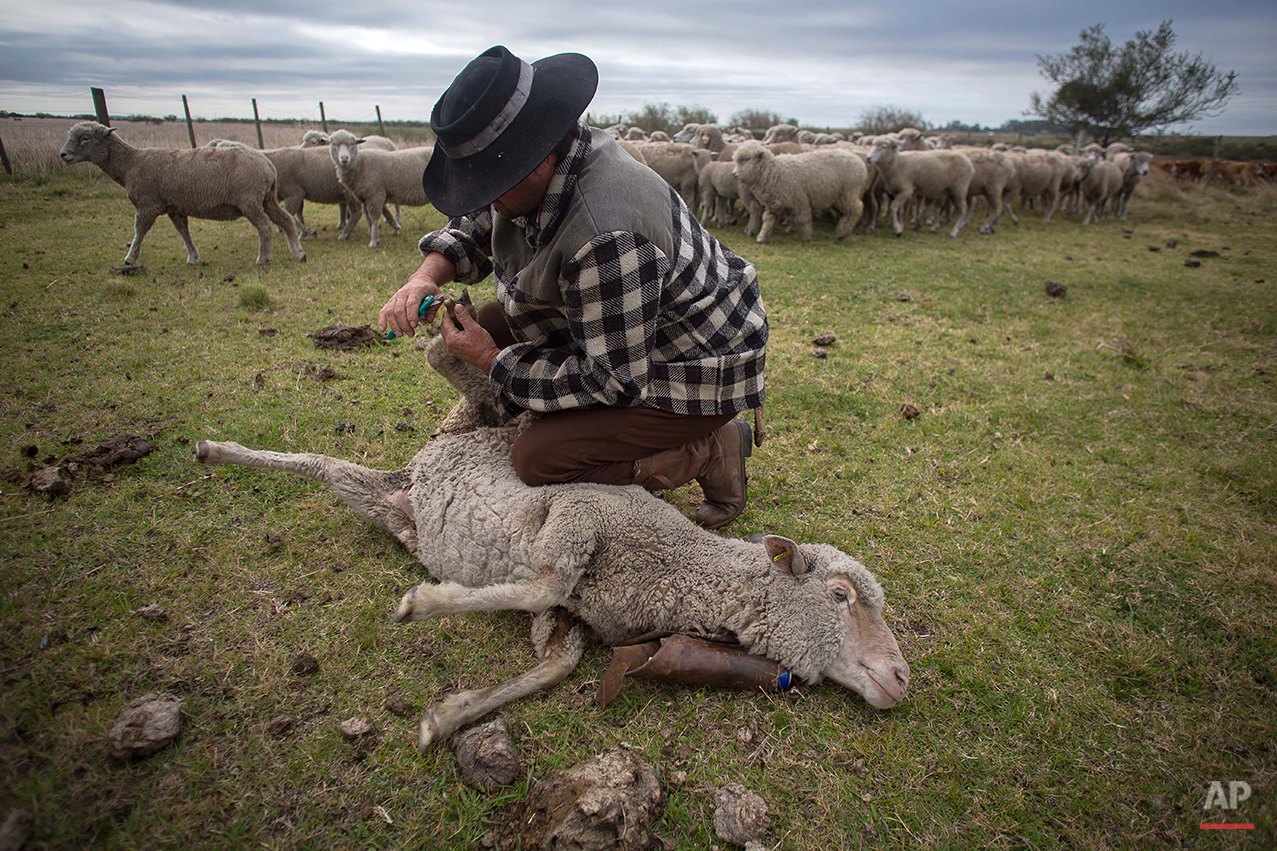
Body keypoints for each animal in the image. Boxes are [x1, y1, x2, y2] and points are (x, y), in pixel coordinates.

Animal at [61, 120, 306, 263]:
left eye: (85, 138)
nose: (63, 155)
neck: (131, 163)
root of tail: (268, 166)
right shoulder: (174, 206)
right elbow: (183, 232)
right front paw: (193, 256)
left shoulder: (148, 204)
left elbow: (139, 231)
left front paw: (129, 258)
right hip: (266, 198)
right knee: (285, 219)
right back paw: (298, 252)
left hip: (249, 200)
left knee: (265, 225)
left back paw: (263, 257)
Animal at [196, 334, 909, 746]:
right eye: (840, 595)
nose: (902, 678)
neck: (678, 568)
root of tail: (421, 467)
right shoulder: (577, 512)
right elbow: (542, 582)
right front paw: (423, 605)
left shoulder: (572, 615)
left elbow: (554, 661)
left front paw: (447, 716)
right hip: (481, 421)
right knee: (434, 378)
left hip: (391, 502)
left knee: (331, 465)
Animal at [735, 137, 873, 240]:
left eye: (747, 159)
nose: (734, 174)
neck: (774, 171)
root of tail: (859, 161)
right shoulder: (773, 203)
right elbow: (767, 220)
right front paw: (762, 237)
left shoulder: (800, 200)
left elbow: (803, 219)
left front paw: (806, 237)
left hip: (849, 192)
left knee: (856, 209)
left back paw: (842, 233)